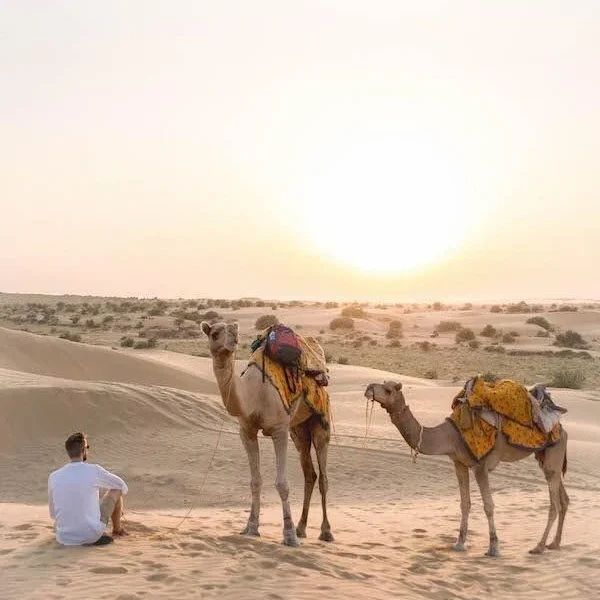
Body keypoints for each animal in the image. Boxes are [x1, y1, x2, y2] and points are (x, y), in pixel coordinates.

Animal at [202, 322, 332, 548]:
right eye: (215, 333)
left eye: (234, 330)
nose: (233, 337)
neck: (253, 394)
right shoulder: (247, 431)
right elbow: (255, 481)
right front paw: (251, 527)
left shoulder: (279, 430)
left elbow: (282, 484)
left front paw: (288, 535)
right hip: (298, 430)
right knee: (310, 473)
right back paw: (301, 528)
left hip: (320, 421)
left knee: (323, 476)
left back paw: (325, 532)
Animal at [364, 382, 568, 556]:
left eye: (388, 390)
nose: (368, 388)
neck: (450, 436)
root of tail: (561, 428)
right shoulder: (459, 463)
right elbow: (465, 503)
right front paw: (459, 543)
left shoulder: (480, 466)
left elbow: (488, 505)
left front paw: (493, 547)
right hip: (545, 457)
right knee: (564, 499)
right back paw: (554, 544)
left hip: (553, 455)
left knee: (554, 504)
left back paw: (539, 546)